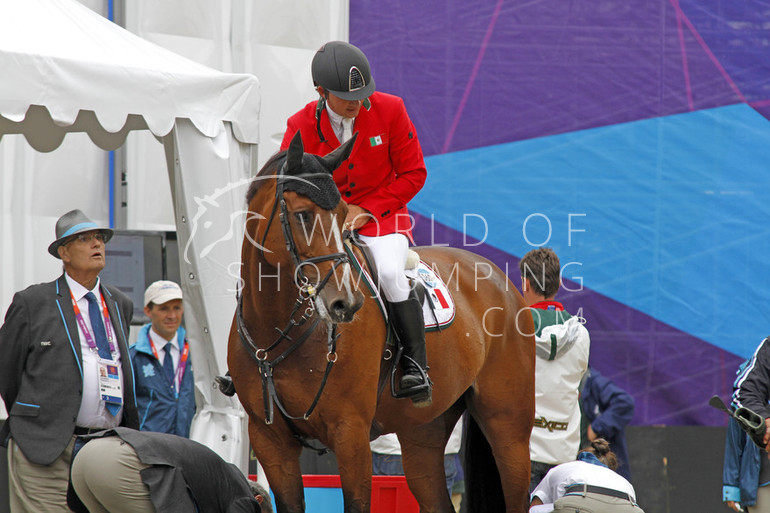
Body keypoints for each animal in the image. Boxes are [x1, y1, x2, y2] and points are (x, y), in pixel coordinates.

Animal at [225, 132, 532, 512]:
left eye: (343, 214)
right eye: (302, 216)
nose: (346, 304)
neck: (278, 327)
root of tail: (499, 278)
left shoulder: (351, 434)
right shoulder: (270, 442)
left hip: (508, 429)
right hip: (423, 434)